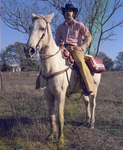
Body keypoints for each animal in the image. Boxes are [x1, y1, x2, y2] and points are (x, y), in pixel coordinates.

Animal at [23, 13, 101, 143]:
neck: (52, 65)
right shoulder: (48, 95)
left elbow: (60, 116)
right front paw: (51, 135)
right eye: (29, 27)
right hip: (83, 90)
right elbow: (51, 116)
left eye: (42, 28)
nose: (29, 50)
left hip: (94, 88)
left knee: (93, 104)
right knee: (86, 103)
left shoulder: (60, 94)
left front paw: (60, 139)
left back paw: (92, 124)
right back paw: (87, 121)